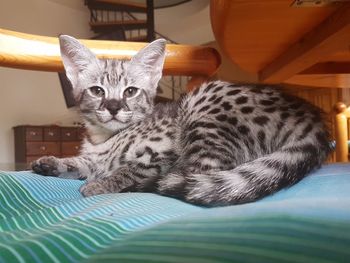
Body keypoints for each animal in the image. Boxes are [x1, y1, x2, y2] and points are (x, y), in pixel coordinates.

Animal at [32, 36, 334, 207]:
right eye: (97, 91)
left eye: (130, 91)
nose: (114, 107)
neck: (103, 138)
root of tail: (311, 120)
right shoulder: (93, 157)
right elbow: (82, 162)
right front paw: (52, 162)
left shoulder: (163, 151)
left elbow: (132, 168)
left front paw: (101, 184)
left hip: (202, 105)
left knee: (196, 176)